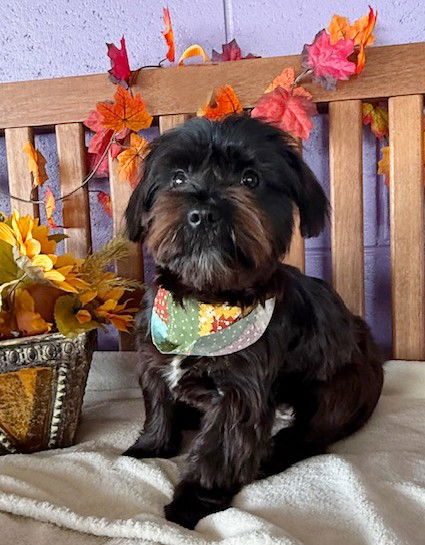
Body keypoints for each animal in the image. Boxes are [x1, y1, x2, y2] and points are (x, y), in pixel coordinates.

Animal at [124, 114, 384, 529]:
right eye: (177, 177)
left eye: (250, 179)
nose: (204, 213)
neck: (204, 302)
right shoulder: (153, 361)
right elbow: (158, 406)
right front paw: (151, 445)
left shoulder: (240, 392)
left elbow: (220, 449)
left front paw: (194, 499)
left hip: (337, 391)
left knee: (308, 437)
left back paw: (272, 454)